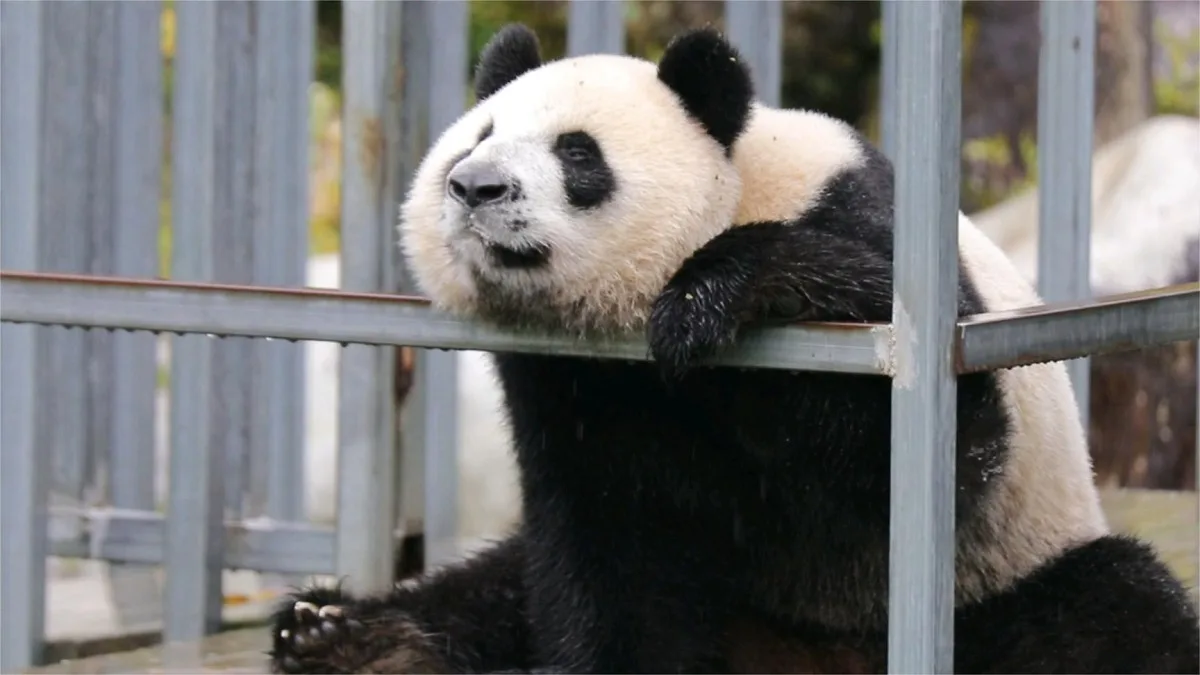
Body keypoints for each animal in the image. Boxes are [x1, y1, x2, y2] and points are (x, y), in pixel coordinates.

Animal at [269, 23, 1200, 675]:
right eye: (474, 138)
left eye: (576, 152)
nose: (475, 187)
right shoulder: (573, 385)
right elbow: (603, 546)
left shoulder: (856, 219)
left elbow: (944, 442)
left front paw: (715, 293)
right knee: (492, 585)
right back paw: (348, 635)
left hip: (998, 582)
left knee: (1113, 611)